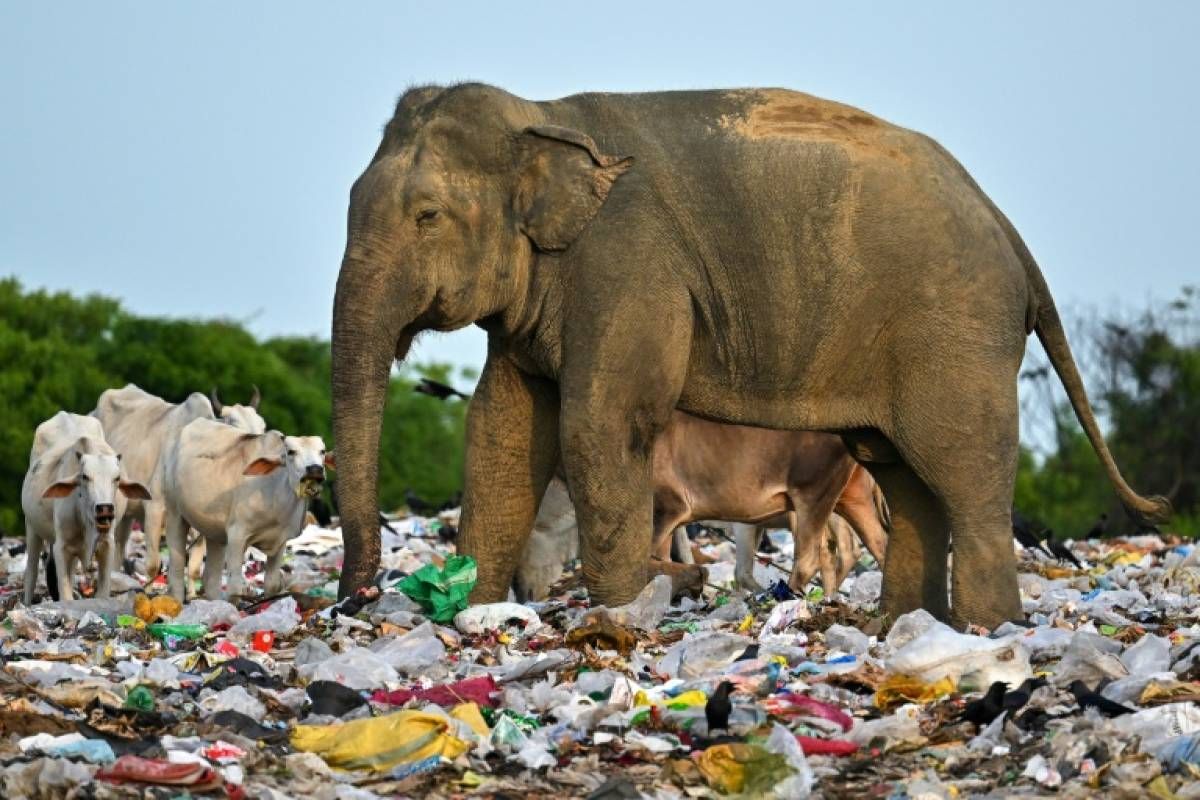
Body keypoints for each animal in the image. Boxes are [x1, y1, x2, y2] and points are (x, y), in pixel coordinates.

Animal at [21, 410, 150, 604]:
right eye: (85, 477)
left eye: (117, 478)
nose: (105, 508)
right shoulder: (61, 547)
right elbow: (65, 592)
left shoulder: (107, 545)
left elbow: (103, 590)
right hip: (31, 527)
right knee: (31, 572)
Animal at [91, 383, 265, 578]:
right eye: (235, 426)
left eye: (263, 427)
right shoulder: (154, 508)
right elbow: (153, 565)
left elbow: (194, 568)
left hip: (128, 513)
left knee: (119, 547)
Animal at [162, 419, 333, 599]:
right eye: (291, 452)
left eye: (322, 451)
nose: (315, 469)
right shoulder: (237, 535)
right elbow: (235, 587)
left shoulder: (280, 541)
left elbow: (272, 584)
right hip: (174, 514)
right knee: (176, 570)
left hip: (213, 531)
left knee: (210, 578)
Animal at [333, 82, 1166, 633]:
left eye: (427, 215)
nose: (356, 601)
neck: (543, 115)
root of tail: (1006, 226)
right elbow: (501, 429)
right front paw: (474, 616)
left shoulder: (629, 263)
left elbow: (601, 423)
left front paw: (616, 622)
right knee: (903, 471)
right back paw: (896, 631)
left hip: (956, 330)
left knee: (961, 472)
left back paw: (984, 634)